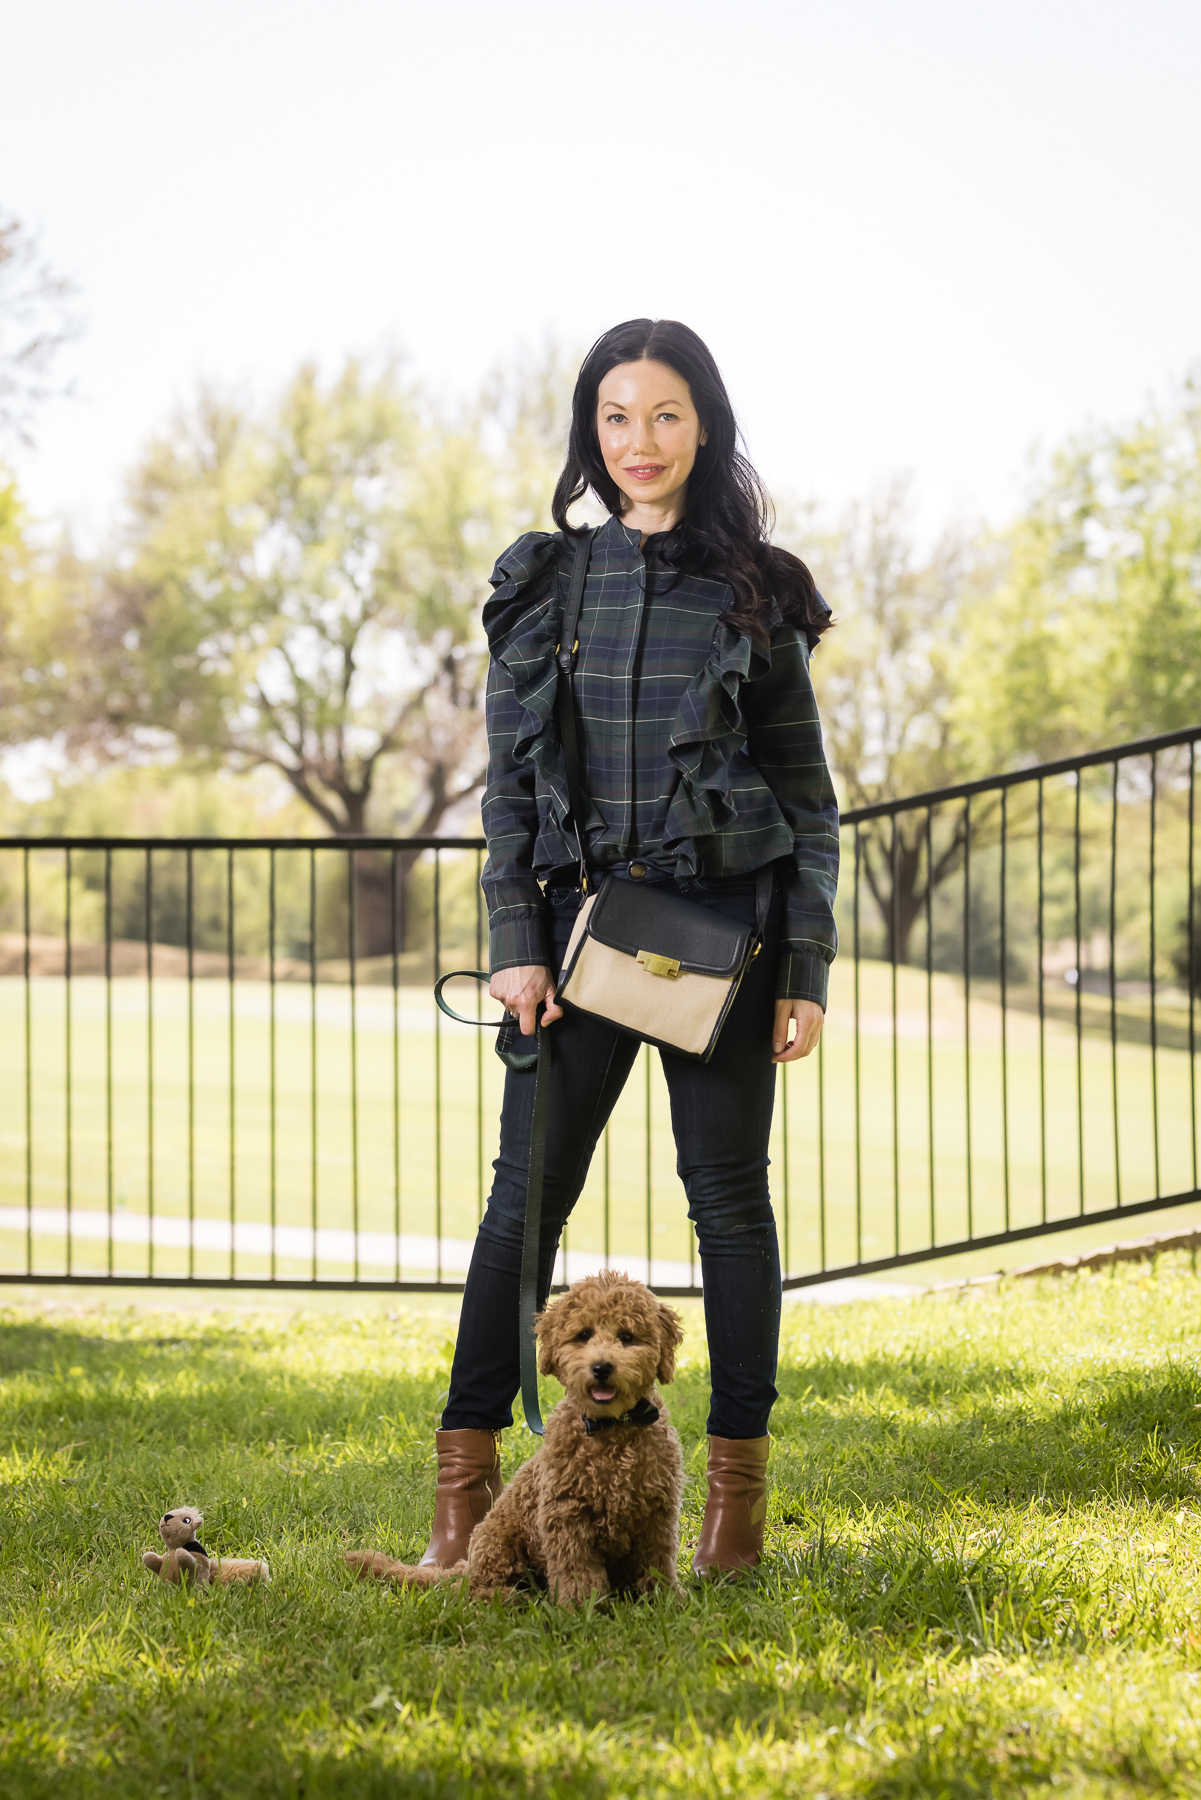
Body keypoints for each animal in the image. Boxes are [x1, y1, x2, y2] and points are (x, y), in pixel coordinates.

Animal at [347, 1274, 684, 1612]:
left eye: (627, 1337)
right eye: (583, 1335)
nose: (601, 1367)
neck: (611, 1427)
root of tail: (467, 1565)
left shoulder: (657, 1516)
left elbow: (656, 1563)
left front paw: (665, 1600)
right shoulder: (566, 1518)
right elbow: (578, 1571)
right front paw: (581, 1610)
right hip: (499, 1541)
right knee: (467, 1591)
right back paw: (509, 1598)